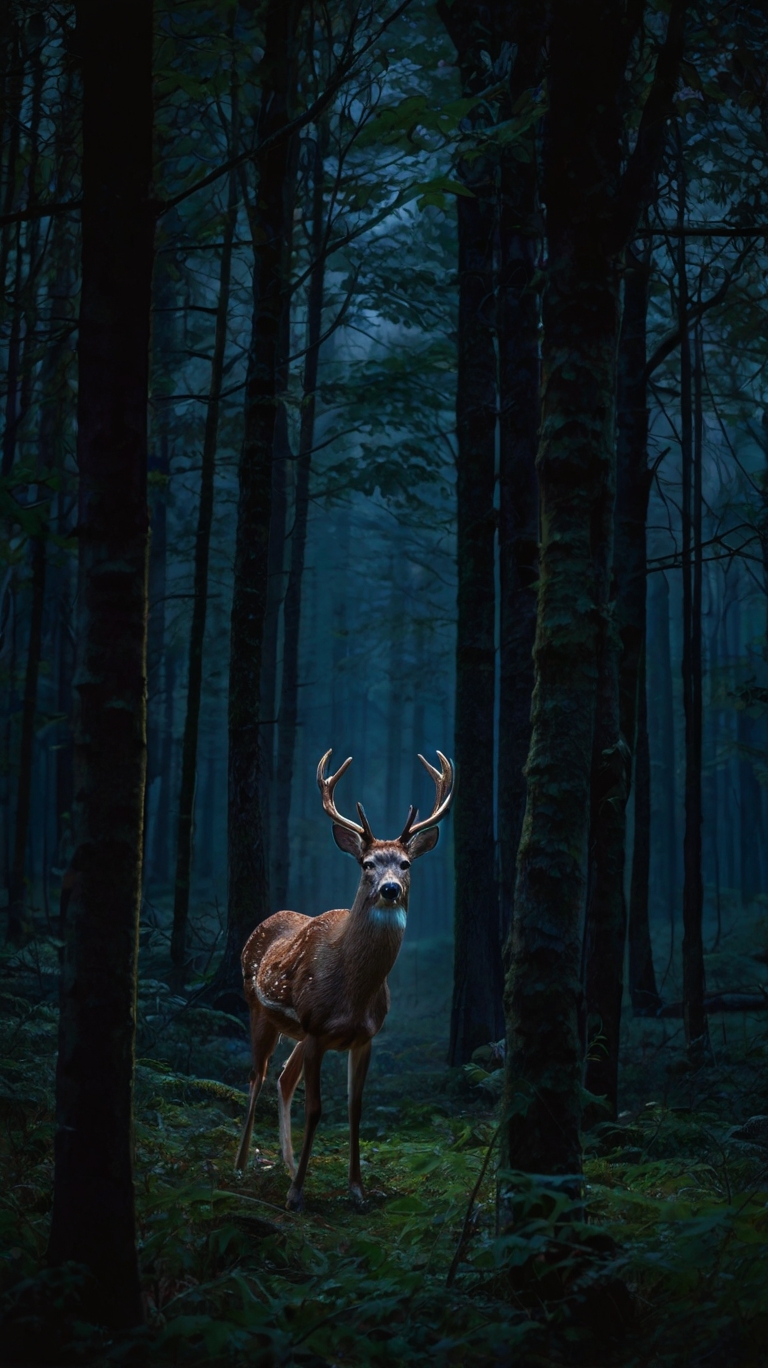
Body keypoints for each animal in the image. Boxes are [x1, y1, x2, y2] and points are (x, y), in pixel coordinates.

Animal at [235, 747, 454, 1212]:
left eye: (405, 863)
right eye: (367, 864)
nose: (390, 889)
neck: (353, 994)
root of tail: (265, 921)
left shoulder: (364, 1036)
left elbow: (355, 1110)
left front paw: (357, 1190)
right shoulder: (317, 1028)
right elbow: (317, 1108)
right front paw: (297, 1195)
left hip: (295, 1031)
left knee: (283, 1078)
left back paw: (285, 1164)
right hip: (259, 1008)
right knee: (257, 1077)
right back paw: (243, 1164)